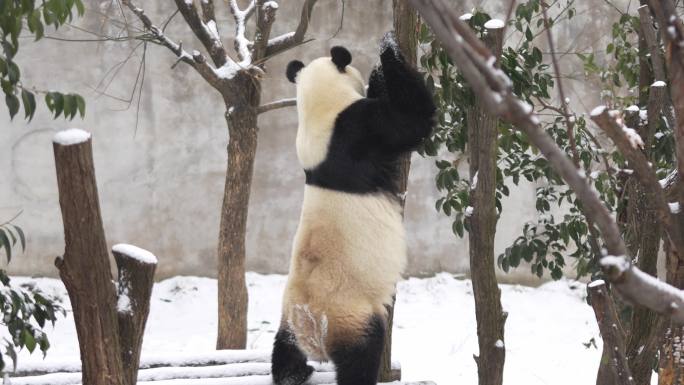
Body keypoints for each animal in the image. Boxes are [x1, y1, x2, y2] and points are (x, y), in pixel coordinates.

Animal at [272, 33, 436, 384]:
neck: (319, 111)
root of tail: (312, 332)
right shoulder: (358, 131)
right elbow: (411, 121)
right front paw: (387, 52)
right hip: (351, 316)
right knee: (361, 355)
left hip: (289, 316)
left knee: (283, 349)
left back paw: (293, 372)